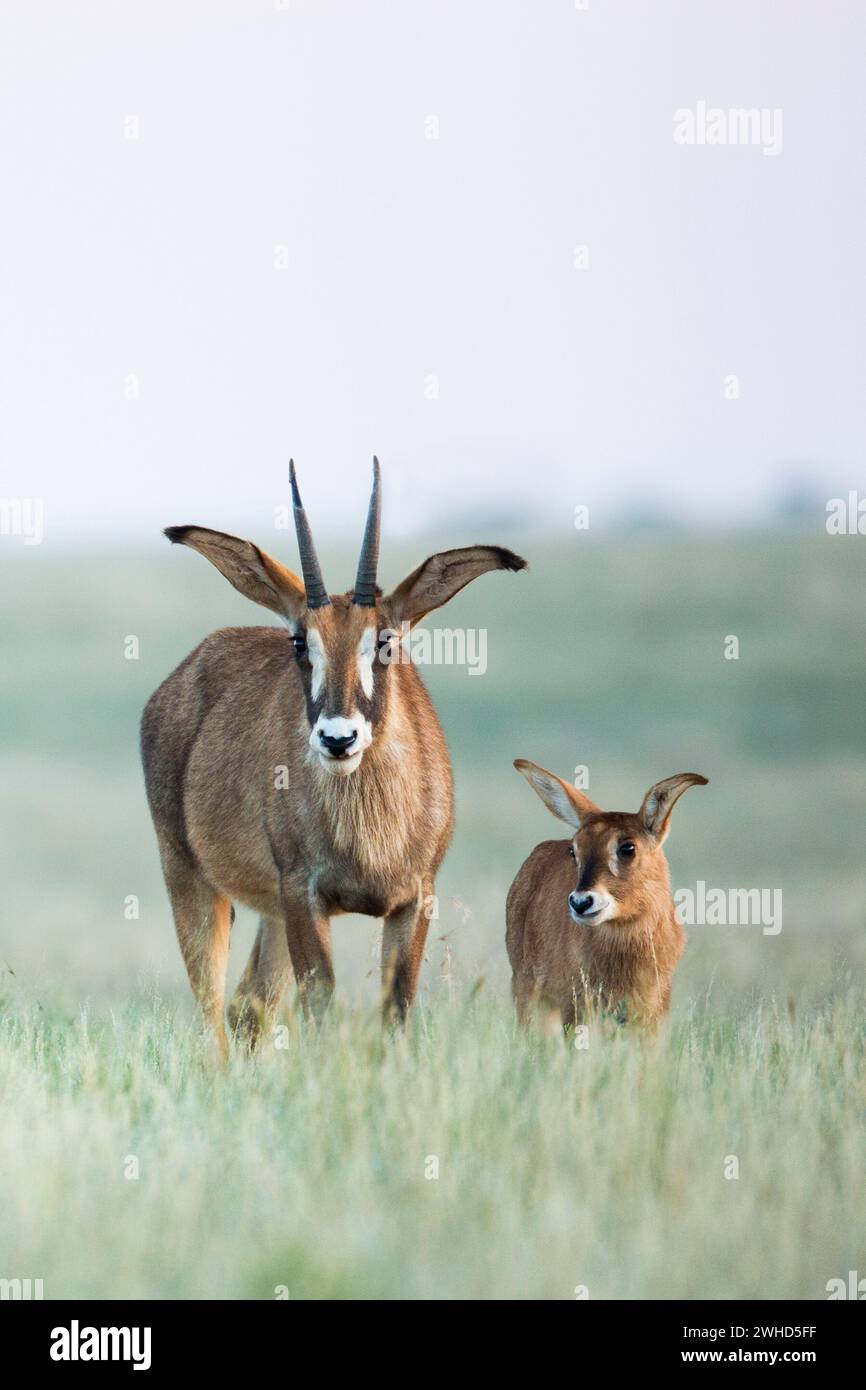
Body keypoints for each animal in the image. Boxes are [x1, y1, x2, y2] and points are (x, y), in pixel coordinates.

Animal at [140, 458, 528, 1050]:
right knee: (214, 1018)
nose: (338, 739)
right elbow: (319, 1007)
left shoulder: (414, 899)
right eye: (302, 642)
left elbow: (396, 1010)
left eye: (385, 641)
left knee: (248, 1007)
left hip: (271, 911)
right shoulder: (305, 894)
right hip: (192, 879)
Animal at [505, 761, 708, 1034]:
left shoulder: (652, 1013)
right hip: (530, 994)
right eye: (574, 849)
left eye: (628, 847)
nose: (581, 902)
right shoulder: (575, 1006)